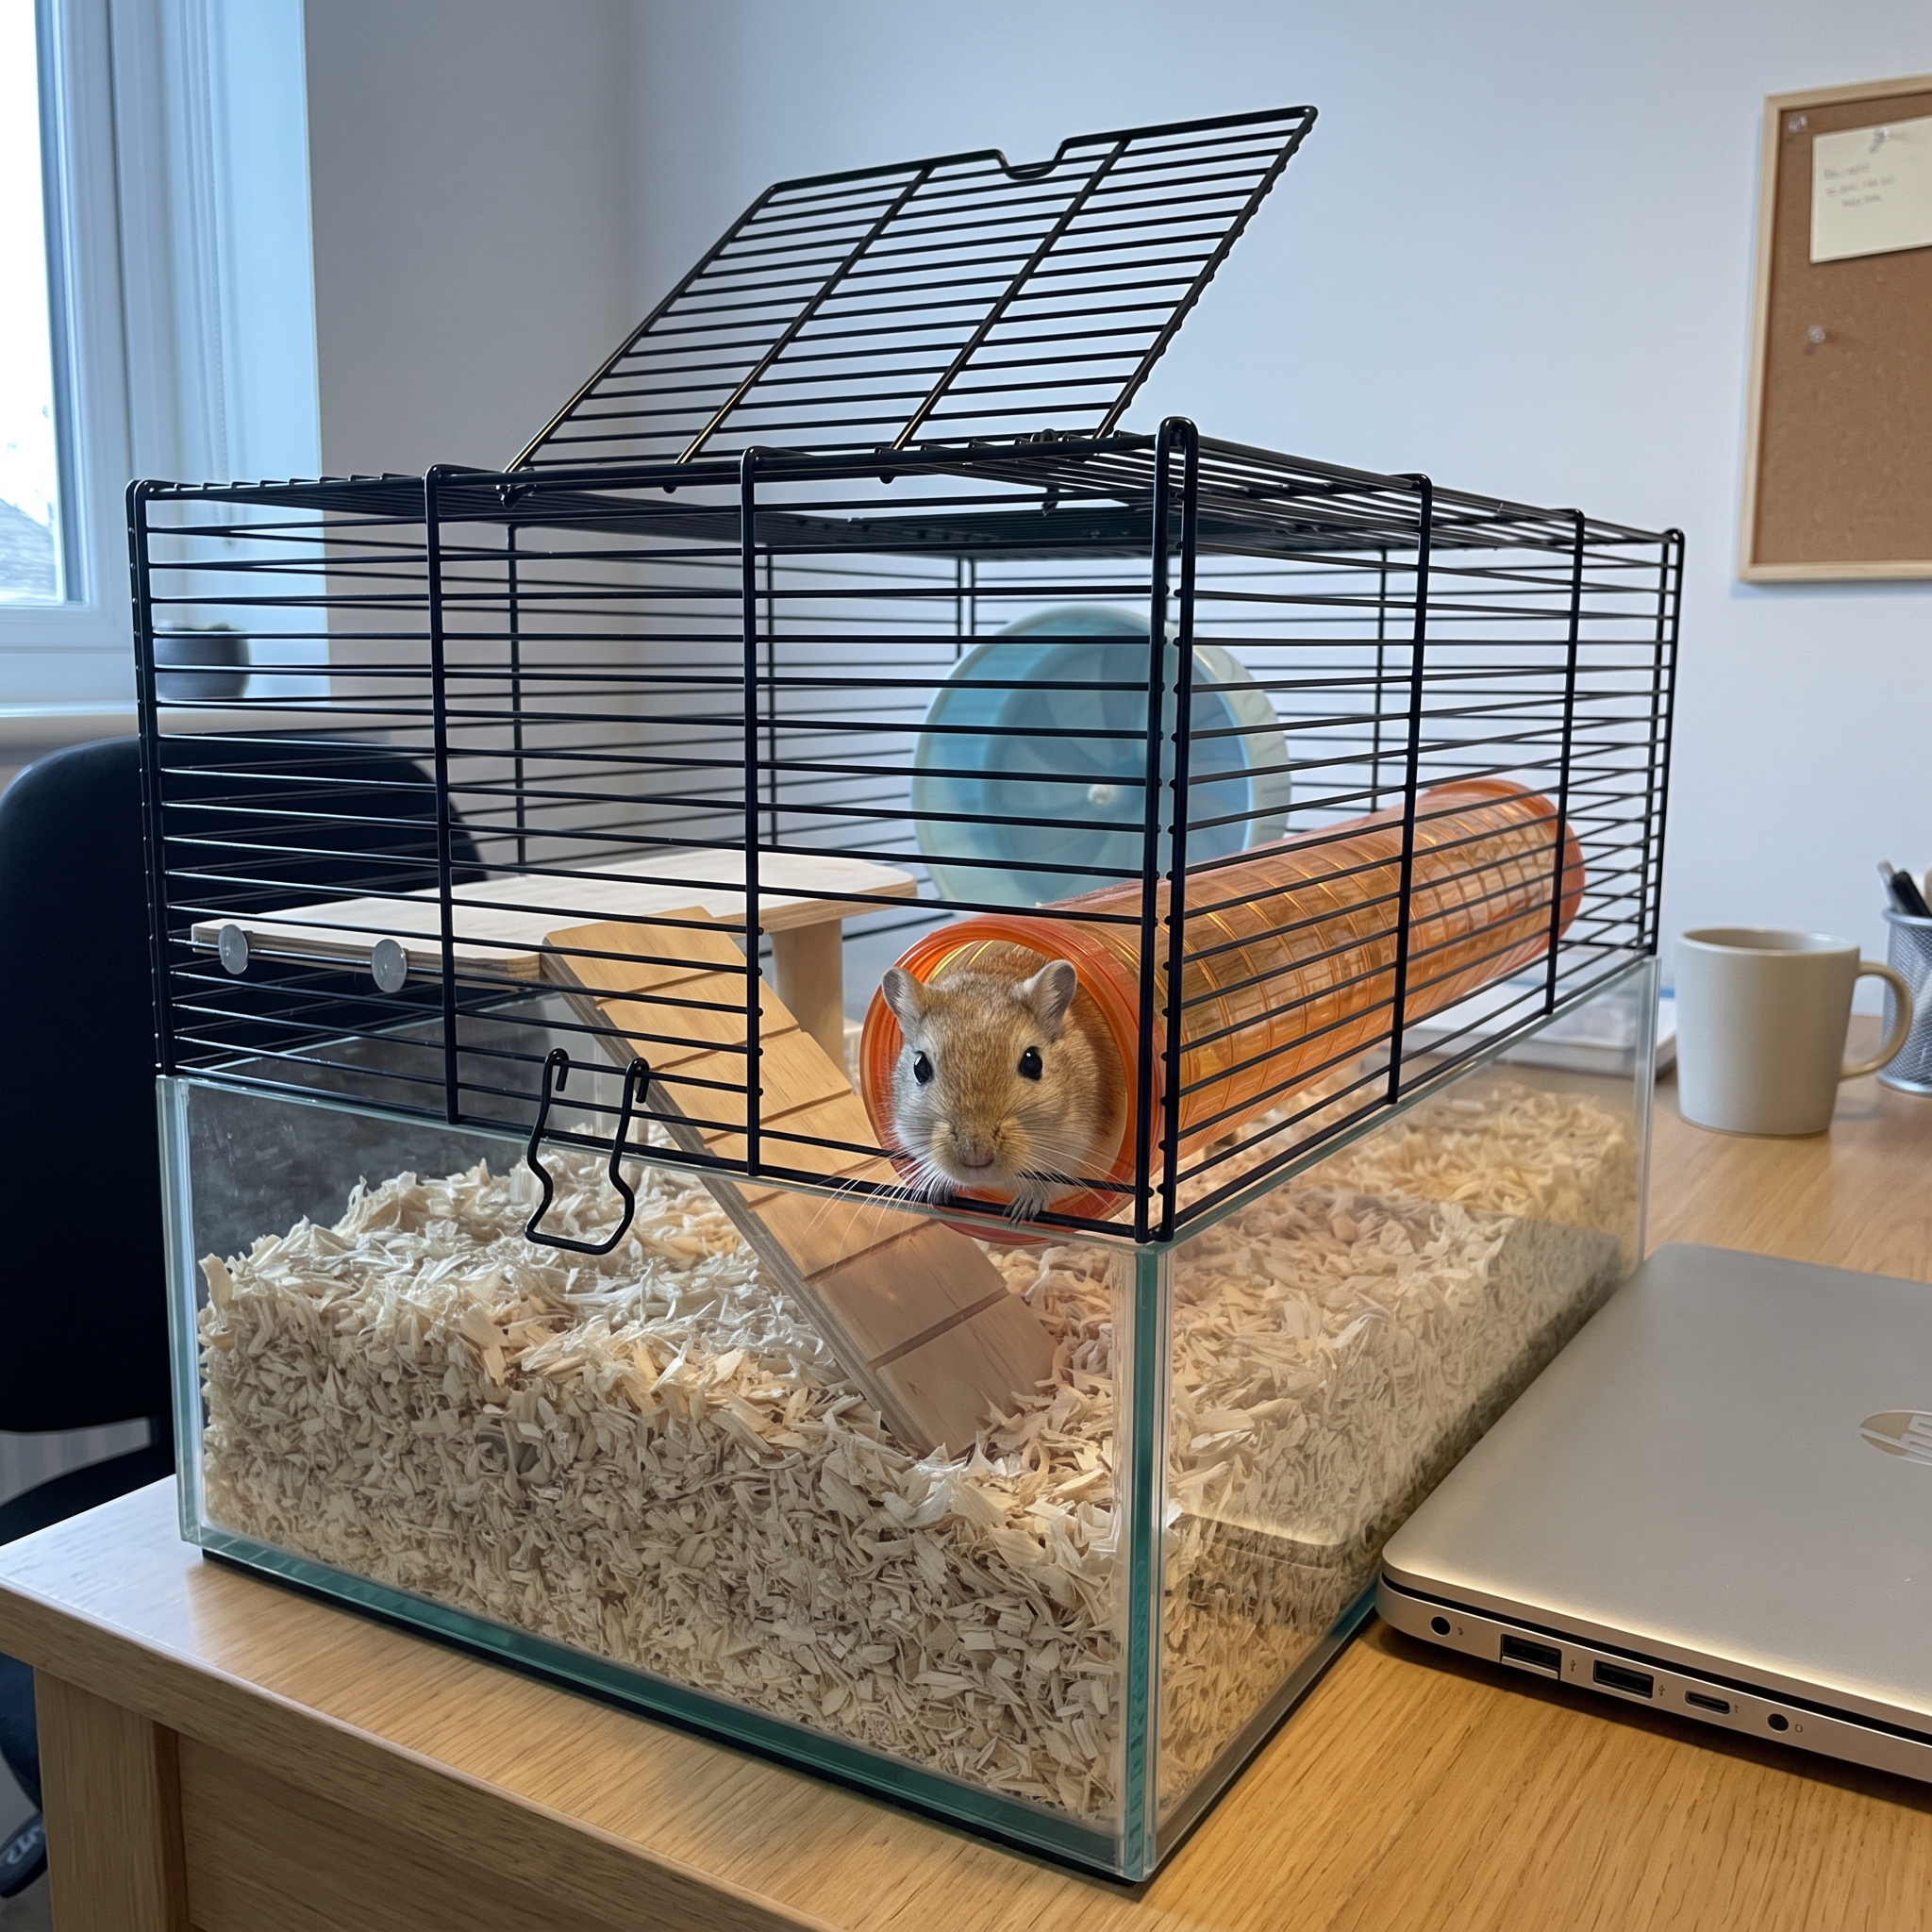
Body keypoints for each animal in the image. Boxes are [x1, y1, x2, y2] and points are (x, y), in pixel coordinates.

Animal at [879, 952, 1125, 1219]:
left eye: (1033, 1063)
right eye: (920, 1067)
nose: (976, 1156)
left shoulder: (1073, 1151)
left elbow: (1049, 1181)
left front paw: (1020, 1212)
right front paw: (935, 1191)